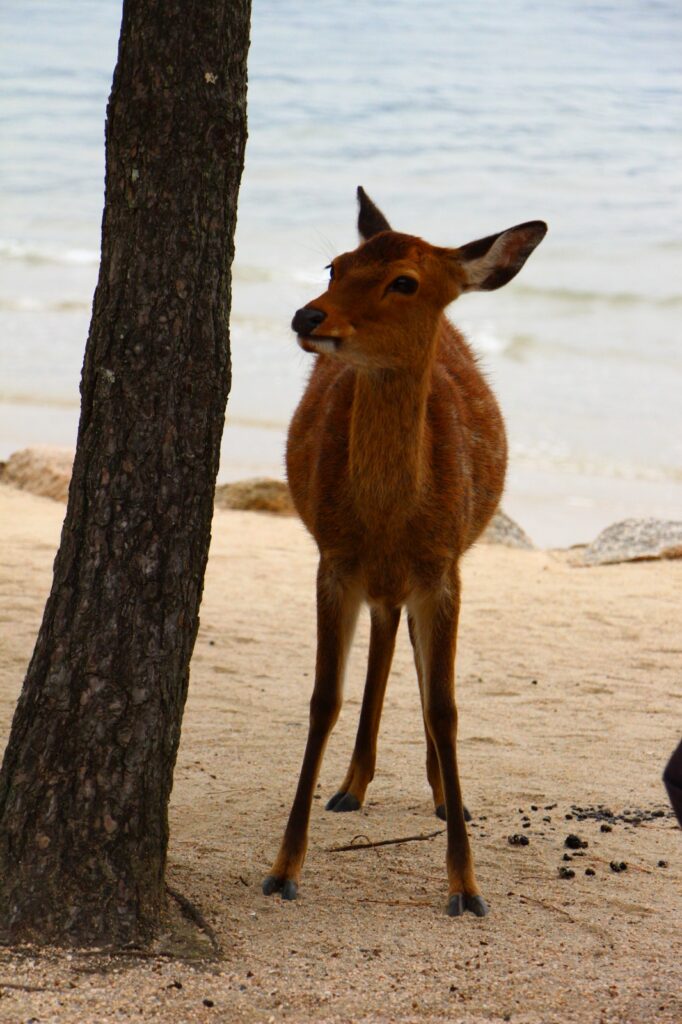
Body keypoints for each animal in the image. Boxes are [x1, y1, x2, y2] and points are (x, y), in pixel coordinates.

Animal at [262, 188, 544, 917]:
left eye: (404, 282)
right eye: (335, 265)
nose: (308, 314)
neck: (388, 518)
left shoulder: (442, 570)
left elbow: (446, 706)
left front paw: (466, 886)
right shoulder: (333, 561)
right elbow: (322, 699)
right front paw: (282, 868)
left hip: (436, 569)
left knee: (409, 652)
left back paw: (443, 798)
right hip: (380, 581)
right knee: (387, 640)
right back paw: (351, 786)